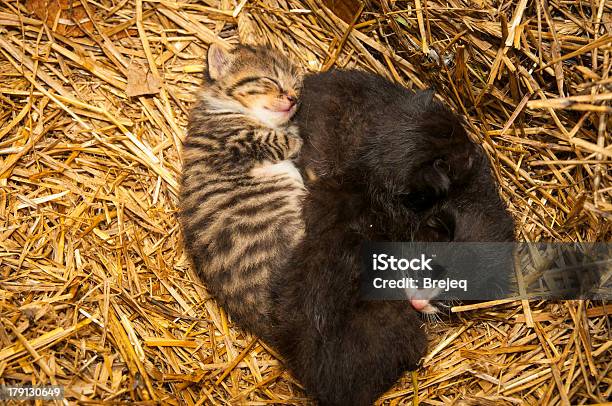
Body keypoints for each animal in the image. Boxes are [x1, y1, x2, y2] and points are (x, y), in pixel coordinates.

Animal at [178, 43, 304, 340]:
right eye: (271, 80)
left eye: (296, 85)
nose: (293, 99)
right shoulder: (239, 144)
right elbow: (282, 139)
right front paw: (295, 134)